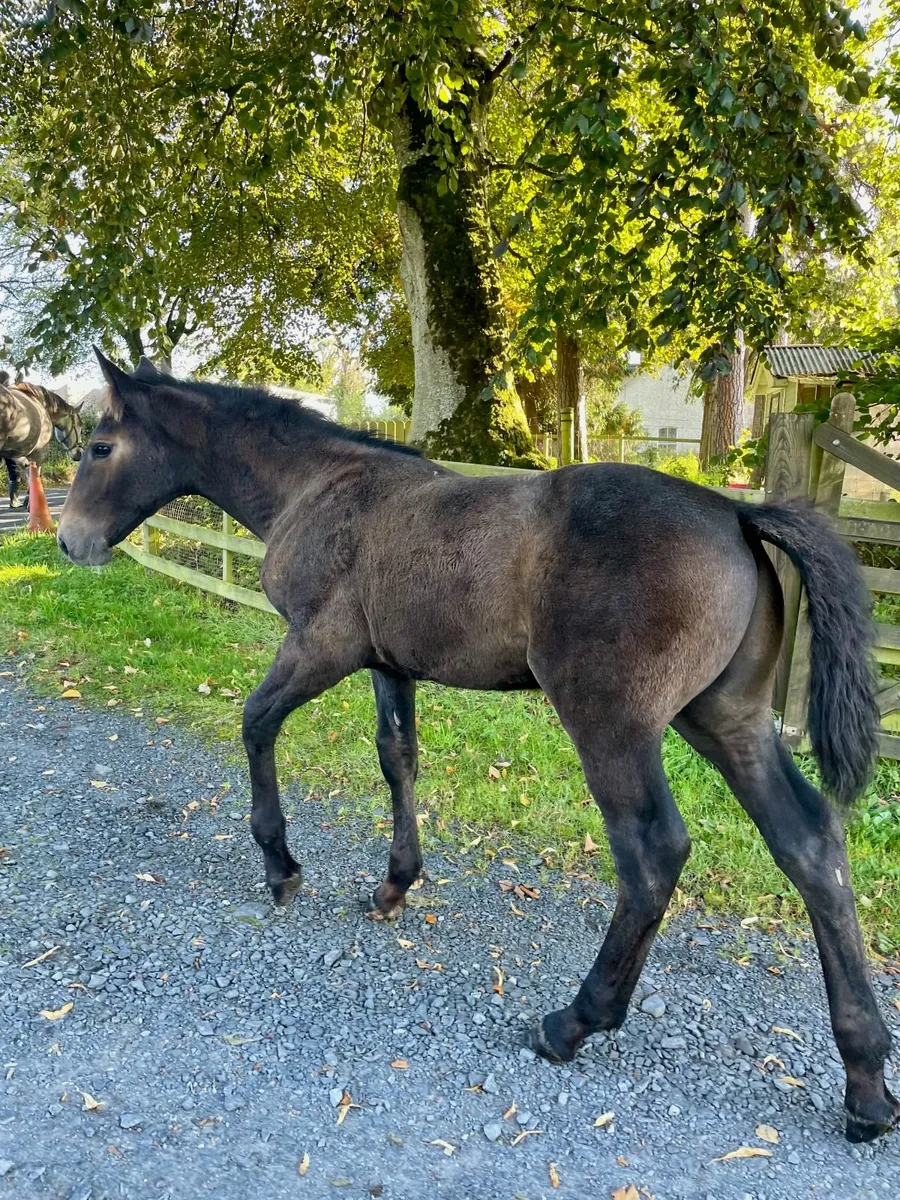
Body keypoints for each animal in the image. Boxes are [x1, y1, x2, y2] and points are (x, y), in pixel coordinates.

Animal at [57, 350, 898, 1144]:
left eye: (99, 446)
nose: (68, 541)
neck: (318, 487)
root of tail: (734, 512)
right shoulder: (388, 664)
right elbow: (397, 757)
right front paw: (393, 885)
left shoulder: (319, 647)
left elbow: (256, 722)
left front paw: (281, 867)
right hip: (727, 720)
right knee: (809, 844)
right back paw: (866, 1085)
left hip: (613, 725)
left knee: (654, 852)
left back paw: (573, 1023)